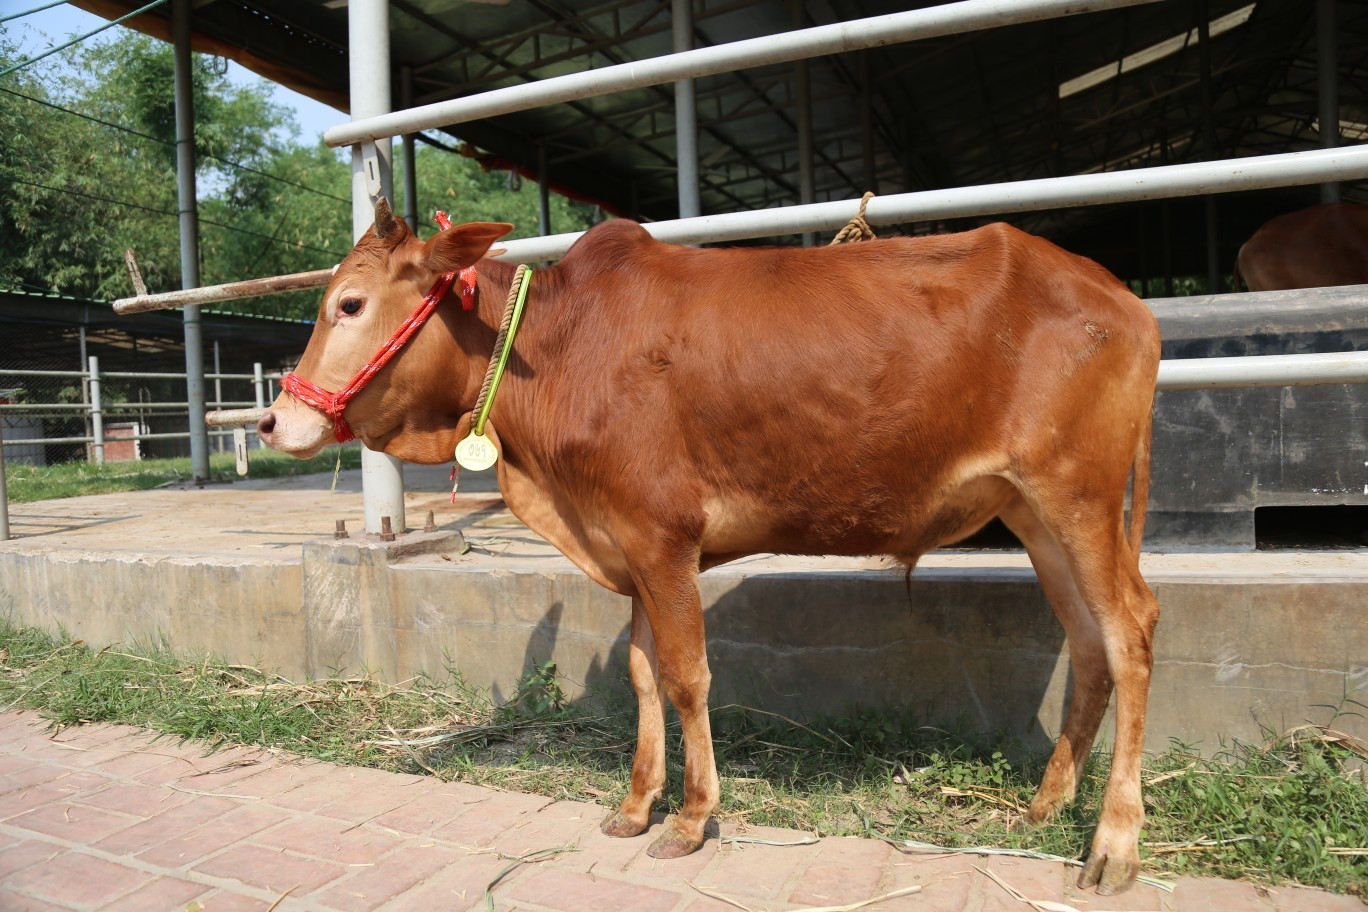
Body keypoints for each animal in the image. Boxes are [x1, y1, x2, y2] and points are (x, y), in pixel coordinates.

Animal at [258, 198, 1162, 895]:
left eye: (349, 305)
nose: (272, 420)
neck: (554, 353)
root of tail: (1122, 296)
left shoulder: (663, 538)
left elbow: (688, 676)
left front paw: (692, 817)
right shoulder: (627, 547)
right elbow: (641, 673)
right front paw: (634, 805)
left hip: (1077, 495)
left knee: (1131, 634)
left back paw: (1114, 843)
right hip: (1035, 513)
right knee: (1088, 643)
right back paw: (1047, 806)